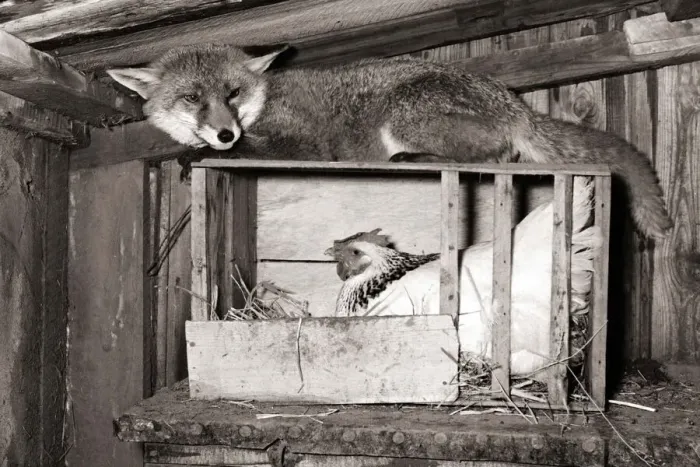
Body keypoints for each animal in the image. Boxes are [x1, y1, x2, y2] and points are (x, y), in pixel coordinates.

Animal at [106, 43, 673, 239]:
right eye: (192, 98)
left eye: (232, 93)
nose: (225, 131)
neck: (267, 99)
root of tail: (515, 103)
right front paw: (197, 148)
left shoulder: (305, 145)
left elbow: (251, 149)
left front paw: (198, 153)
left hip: (406, 114)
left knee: (494, 153)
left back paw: (417, 156)